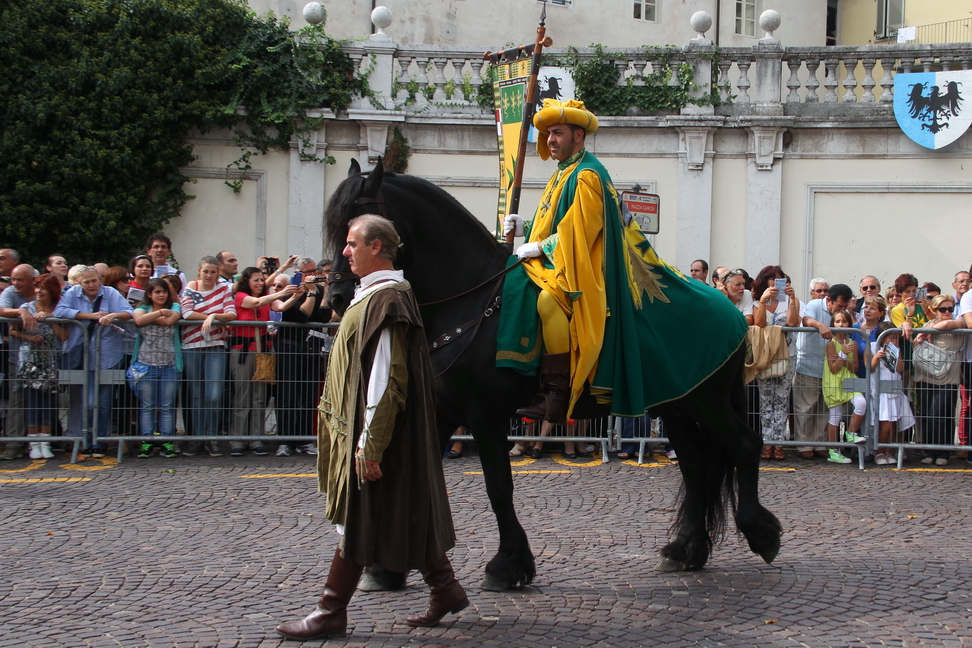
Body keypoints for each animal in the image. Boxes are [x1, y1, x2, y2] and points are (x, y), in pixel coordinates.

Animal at [324, 161, 784, 588]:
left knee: (744, 447)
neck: (471, 301)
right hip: (676, 407)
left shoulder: (485, 415)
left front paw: (508, 564)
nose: (337, 298)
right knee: (695, 467)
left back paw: (760, 534)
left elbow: (498, 488)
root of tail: (737, 318)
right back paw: (685, 549)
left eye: (355, 229)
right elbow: (418, 482)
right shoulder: (441, 411)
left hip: (706, 403)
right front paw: (385, 569)